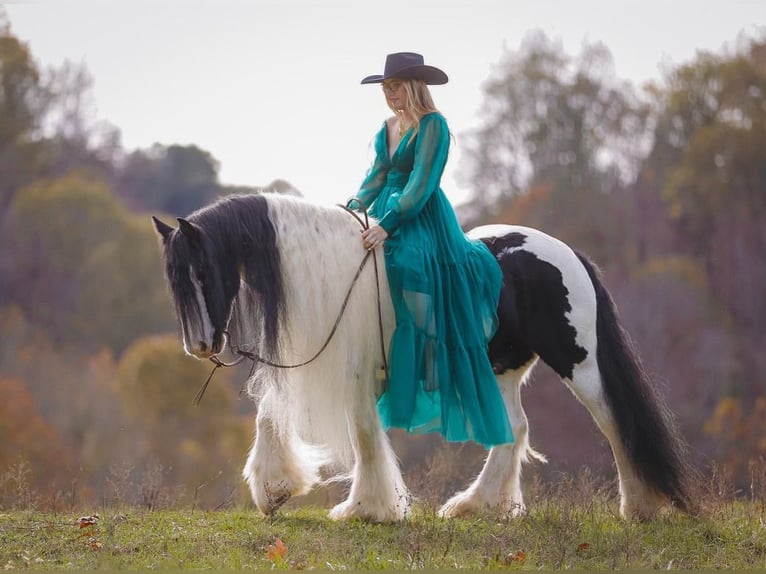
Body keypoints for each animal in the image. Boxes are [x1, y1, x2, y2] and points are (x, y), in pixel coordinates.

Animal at [153, 192, 700, 520]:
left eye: (202, 270)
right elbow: (269, 416)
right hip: (503, 368)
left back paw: (638, 507)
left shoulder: (350, 373)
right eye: (173, 279)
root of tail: (568, 255)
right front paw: (275, 491)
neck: (329, 274)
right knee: (515, 429)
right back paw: (477, 505)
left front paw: (367, 508)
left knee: (613, 423)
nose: (200, 346)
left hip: (577, 362)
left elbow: (364, 437)